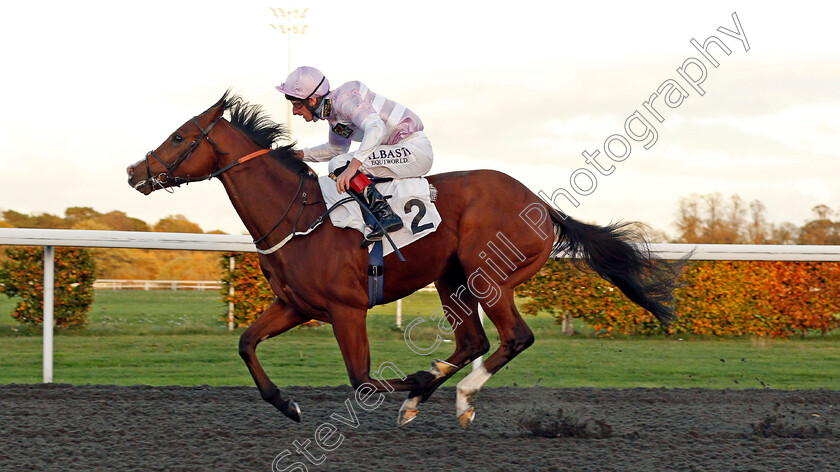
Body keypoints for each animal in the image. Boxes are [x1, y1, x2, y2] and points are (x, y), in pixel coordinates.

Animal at [126, 91, 684, 428]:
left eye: (179, 137)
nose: (134, 171)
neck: (297, 217)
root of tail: (542, 204)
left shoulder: (346, 309)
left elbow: (361, 378)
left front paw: (413, 381)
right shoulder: (297, 306)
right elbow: (246, 343)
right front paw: (288, 404)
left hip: (489, 275)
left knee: (514, 337)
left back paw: (456, 394)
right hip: (451, 279)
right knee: (474, 340)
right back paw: (432, 394)